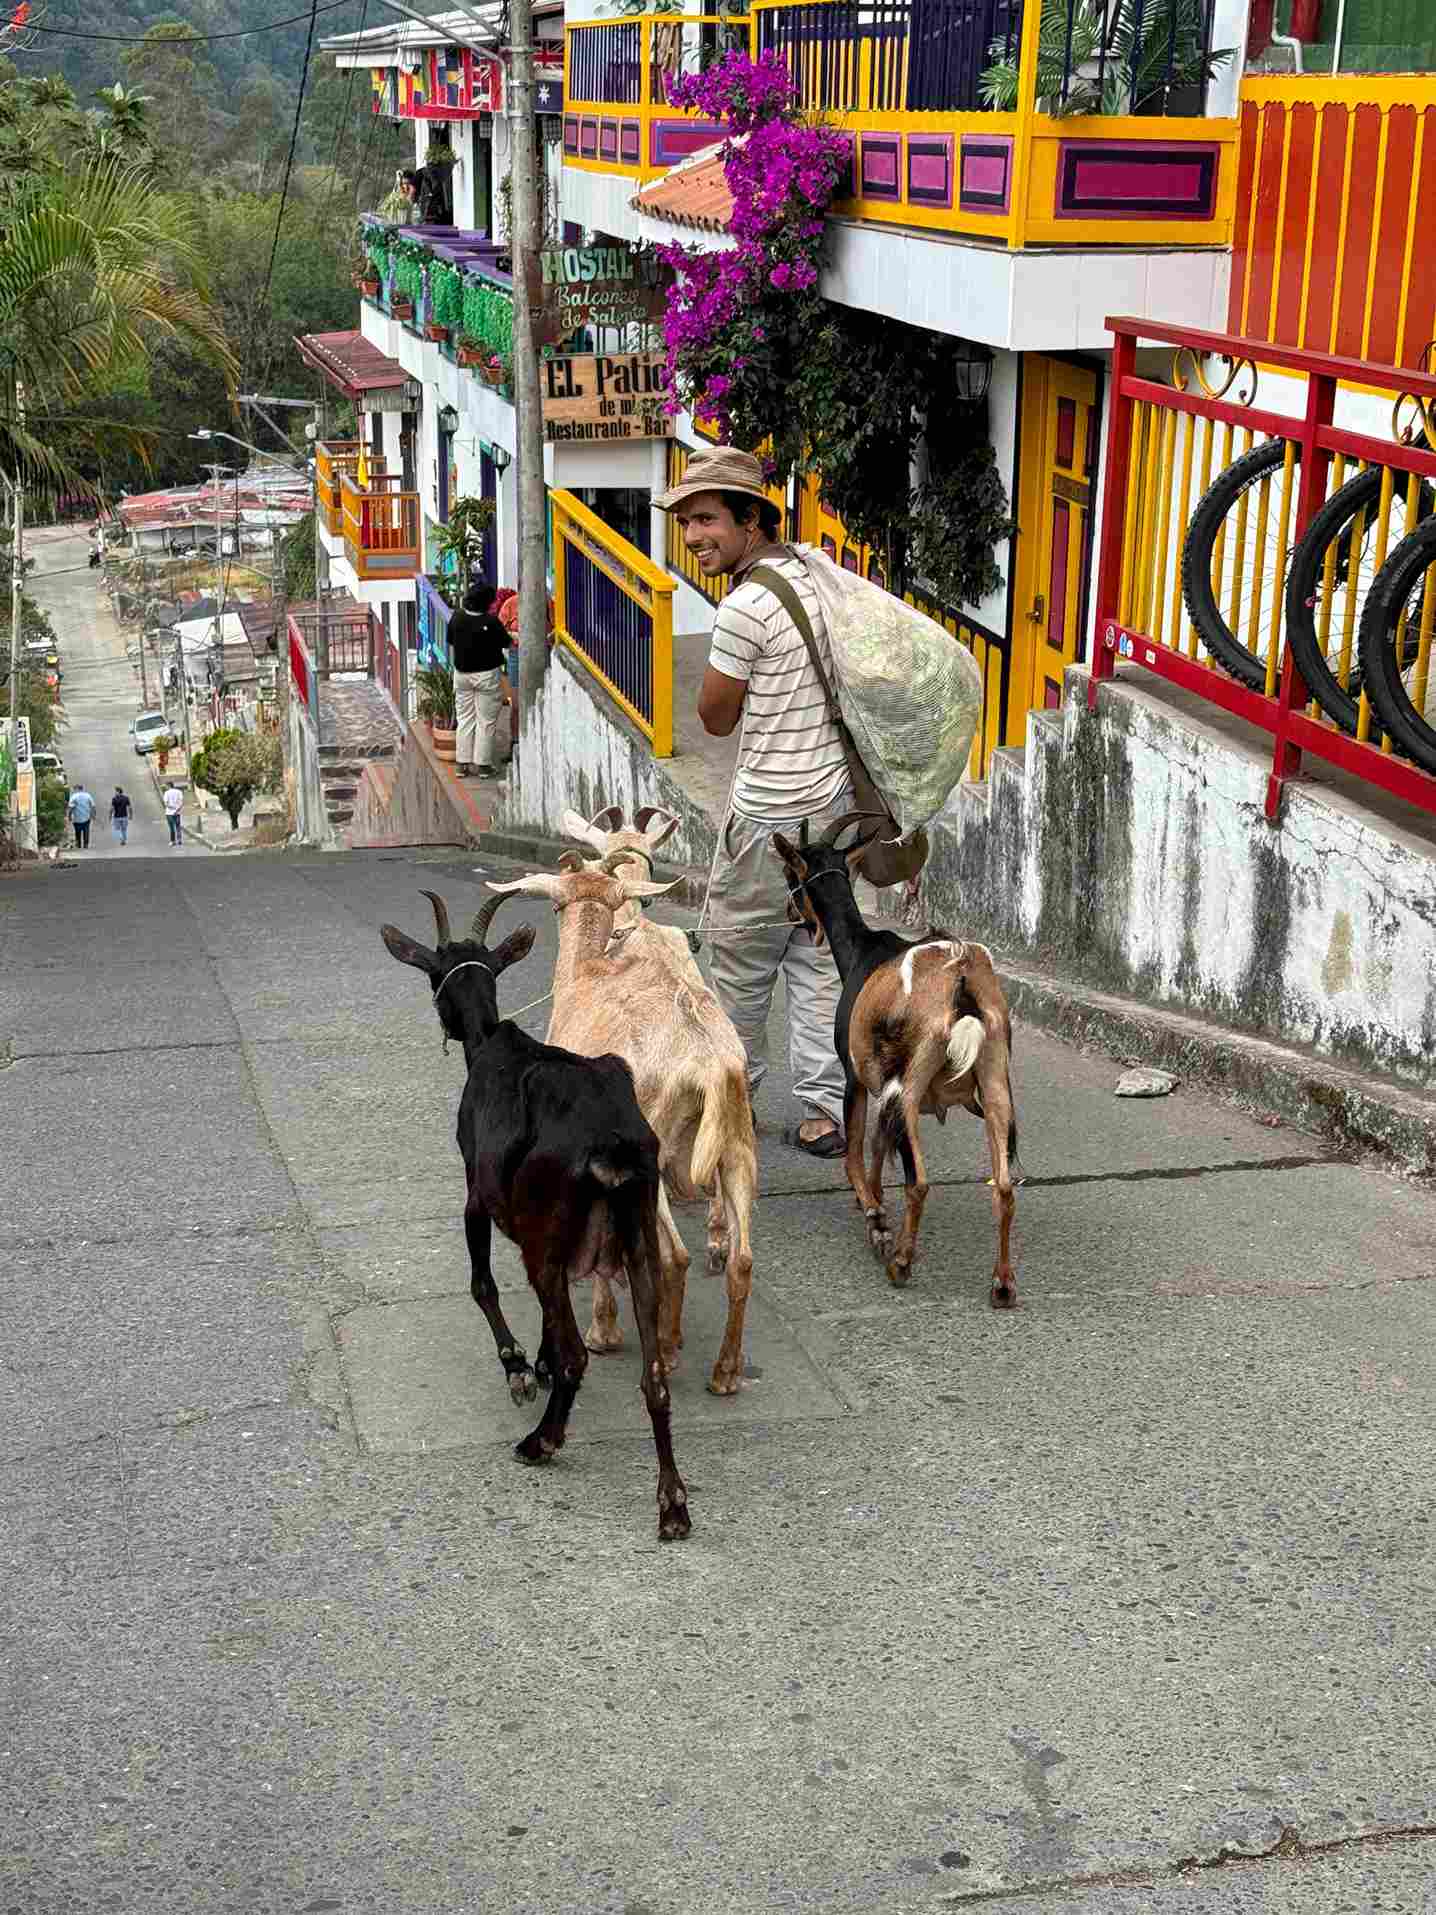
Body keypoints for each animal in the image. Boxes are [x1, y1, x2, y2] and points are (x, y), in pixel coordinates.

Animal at [380, 886, 692, 1540]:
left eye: (433, 971)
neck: (490, 1043)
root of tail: (611, 1144)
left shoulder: (478, 1197)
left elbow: (482, 1285)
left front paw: (521, 1367)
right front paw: (539, 1361)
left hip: (543, 1237)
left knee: (577, 1354)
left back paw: (541, 1441)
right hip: (637, 1233)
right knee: (653, 1374)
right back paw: (672, 1504)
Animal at [492, 825, 759, 1397]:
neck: (586, 975)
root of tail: (707, 1062)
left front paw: (603, 1331)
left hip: (651, 1151)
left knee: (672, 1256)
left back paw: (667, 1348)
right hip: (735, 1145)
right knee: (741, 1262)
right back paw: (724, 1372)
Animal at [772, 815, 1023, 1307]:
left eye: (792, 873)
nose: (795, 915)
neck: (862, 950)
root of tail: (961, 980)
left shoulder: (857, 1075)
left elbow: (855, 1150)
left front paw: (875, 1219)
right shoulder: (884, 1085)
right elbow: (876, 1145)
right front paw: (874, 1203)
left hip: (911, 1084)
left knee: (920, 1181)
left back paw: (902, 1263)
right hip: (993, 1080)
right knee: (1003, 1186)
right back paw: (1002, 1284)